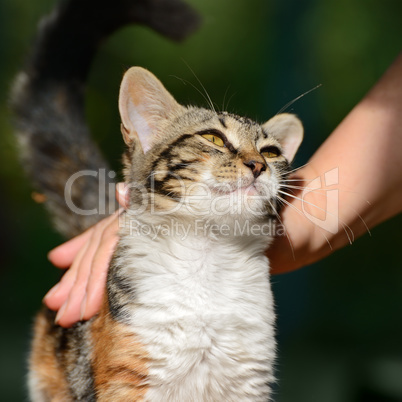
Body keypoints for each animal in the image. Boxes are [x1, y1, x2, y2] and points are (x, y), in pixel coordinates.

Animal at [11, 0, 304, 402]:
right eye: (213, 139)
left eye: (272, 152)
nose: (258, 165)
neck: (208, 256)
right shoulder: (129, 382)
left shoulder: (248, 383)